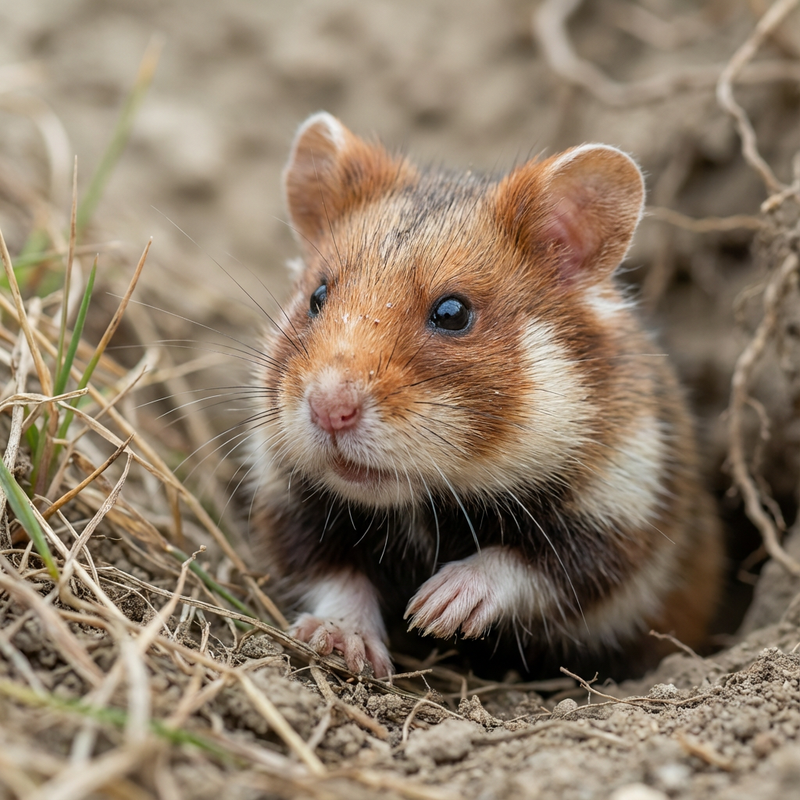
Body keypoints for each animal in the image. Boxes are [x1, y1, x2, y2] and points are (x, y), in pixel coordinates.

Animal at [249, 112, 723, 679]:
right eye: (317, 297)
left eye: (453, 313)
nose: (328, 410)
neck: (426, 501)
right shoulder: (287, 504)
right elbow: (331, 573)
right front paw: (344, 643)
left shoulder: (622, 506)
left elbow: (537, 566)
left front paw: (435, 609)